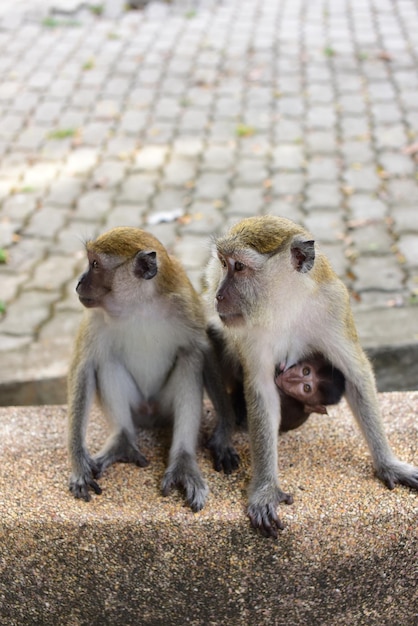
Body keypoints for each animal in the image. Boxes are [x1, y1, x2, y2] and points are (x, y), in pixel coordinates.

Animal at [67, 227, 227, 510]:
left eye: (95, 264)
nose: (78, 283)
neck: (138, 306)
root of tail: (151, 414)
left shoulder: (184, 305)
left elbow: (204, 352)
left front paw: (224, 431)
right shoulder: (94, 317)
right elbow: (84, 367)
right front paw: (79, 461)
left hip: (162, 406)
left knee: (189, 359)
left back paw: (183, 460)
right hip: (138, 409)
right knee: (106, 360)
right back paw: (122, 441)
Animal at [206, 216, 418, 536]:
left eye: (239, 267)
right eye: (222, 263)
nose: (218, 295)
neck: (287, 304)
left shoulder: (334, 305)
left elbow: (355, 375)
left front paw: (387, 463)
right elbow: (262, 392)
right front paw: (265, 489)